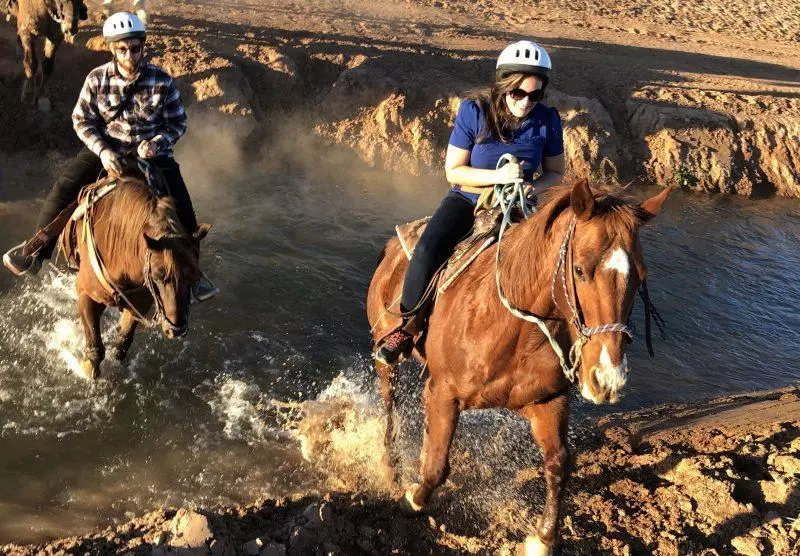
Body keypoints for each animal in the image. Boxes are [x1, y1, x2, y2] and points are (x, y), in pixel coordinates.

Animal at [63, 176, 211, 380]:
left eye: (194, 276)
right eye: (157, 275)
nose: (176, 330)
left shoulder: (137, 306)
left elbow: (122, 343)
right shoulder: (87, 294)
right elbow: (95, 347)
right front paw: (87, 366)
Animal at [368, 180, 676, 552]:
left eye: (641, 276)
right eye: (579, 269)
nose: (607, 378)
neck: (514, 327)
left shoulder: (548, 402)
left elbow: (559, 463)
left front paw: (542, 538)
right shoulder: (444, 393)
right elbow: (438, 466)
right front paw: (412, 499)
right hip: (387, 357)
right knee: (391, 404)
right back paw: (391, 465)